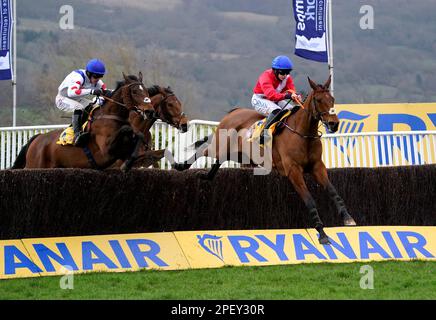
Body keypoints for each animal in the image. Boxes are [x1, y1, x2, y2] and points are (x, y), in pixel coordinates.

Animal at [11, 73, 153, 171]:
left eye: (146, 90)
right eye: (134, 91)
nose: (150, 111)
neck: (110, 115)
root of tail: (37, 138)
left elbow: (138, 136)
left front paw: (128, 163)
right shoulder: (105, 150)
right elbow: (126, 129)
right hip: (35, 166)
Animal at [172, 76, 356, 244]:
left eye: (332, 99)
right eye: (318, 100)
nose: (334, 124)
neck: (302, 134)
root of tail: (233, 113)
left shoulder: (317, 166)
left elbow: (333, 191)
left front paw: (348, 218)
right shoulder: (293, 170)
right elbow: (309, 200)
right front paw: (322, 234)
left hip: (237, 154)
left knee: (215, 164)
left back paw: (204, 175)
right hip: (220, 146)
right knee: (203, 150)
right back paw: (180, 165)